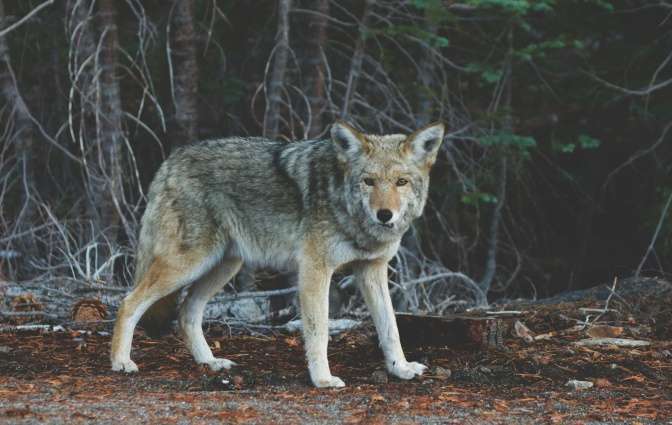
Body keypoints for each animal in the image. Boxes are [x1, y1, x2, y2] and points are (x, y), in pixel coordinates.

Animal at [110, 120, 445, 388]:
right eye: (369, 181)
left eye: (401, 182)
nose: (384, 215)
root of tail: (172, 158)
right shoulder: (315, 270)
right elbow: (319, 331)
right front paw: (323, 380)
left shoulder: (372, 270)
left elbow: (391, 328)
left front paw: (400, 368)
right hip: (188, 265)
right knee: (129, 302)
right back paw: (121, 362)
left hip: (223, 267)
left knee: (186, 313)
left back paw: (210, 363)